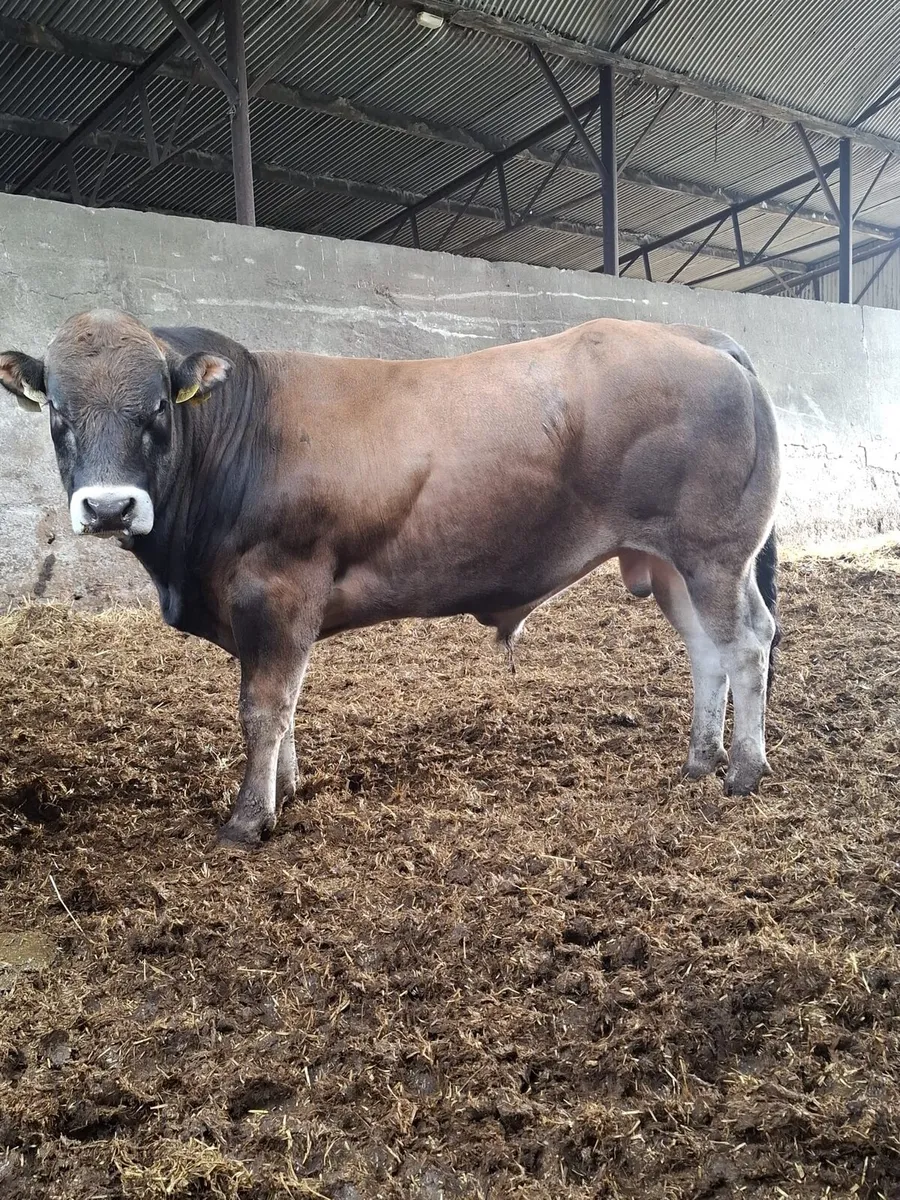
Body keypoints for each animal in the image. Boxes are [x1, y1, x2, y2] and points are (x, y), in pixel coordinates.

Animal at [0, 310, 781, 850]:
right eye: (58, 413)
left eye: (158, 407)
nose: (108, 507)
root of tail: (701, 334)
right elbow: (287, 703)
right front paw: (288, 788)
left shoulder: (277, 586)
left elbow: (264, 705)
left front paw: (248, 819)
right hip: (675, 562)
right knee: (706, 652)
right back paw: (700, 760)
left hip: (714, 551)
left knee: (746, 643)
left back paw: (742, 772)